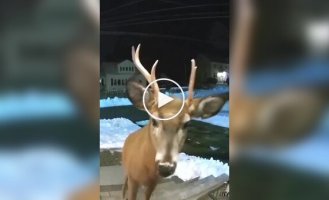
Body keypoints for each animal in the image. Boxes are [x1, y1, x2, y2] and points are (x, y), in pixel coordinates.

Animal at [121, 44, 228, 199]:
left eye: (187, 123)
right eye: (154, 121)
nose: (166, 168)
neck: (146, 171)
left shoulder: (153, 183)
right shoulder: (133, 178)